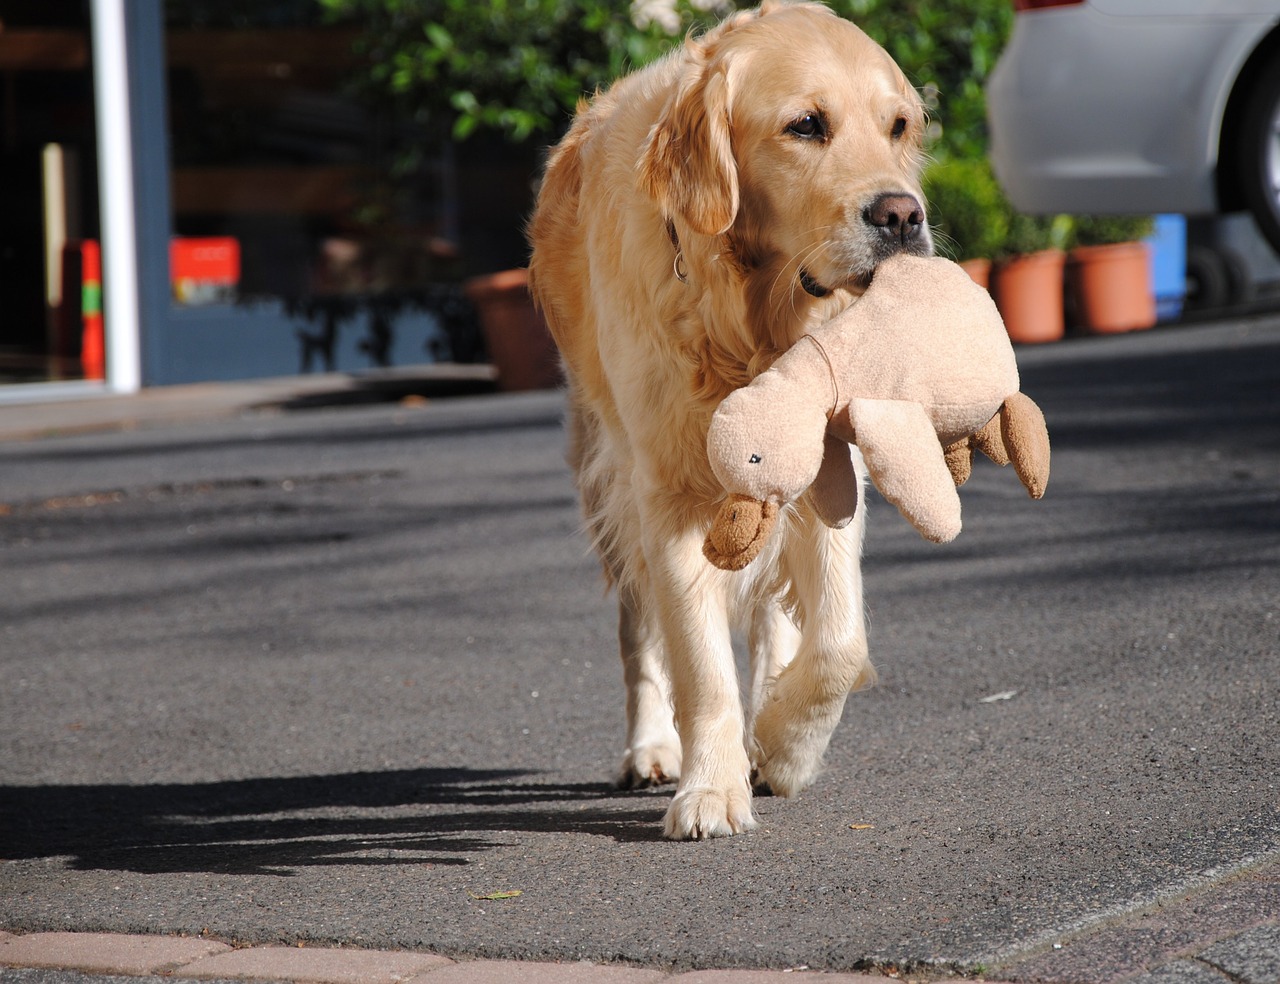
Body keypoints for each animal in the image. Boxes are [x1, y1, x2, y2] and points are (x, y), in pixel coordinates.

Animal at [527, 0, 931, 839]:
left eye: (899, 125)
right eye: (806, 125)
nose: (904, 216)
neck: (753, 318)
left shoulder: (828, 473)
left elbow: (839, 641)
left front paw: (784, 746)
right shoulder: (669, 496)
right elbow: (700, 669)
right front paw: (710, 790)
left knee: (777, 617)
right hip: (608, 477)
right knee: (640, 635)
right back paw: (652, 749)